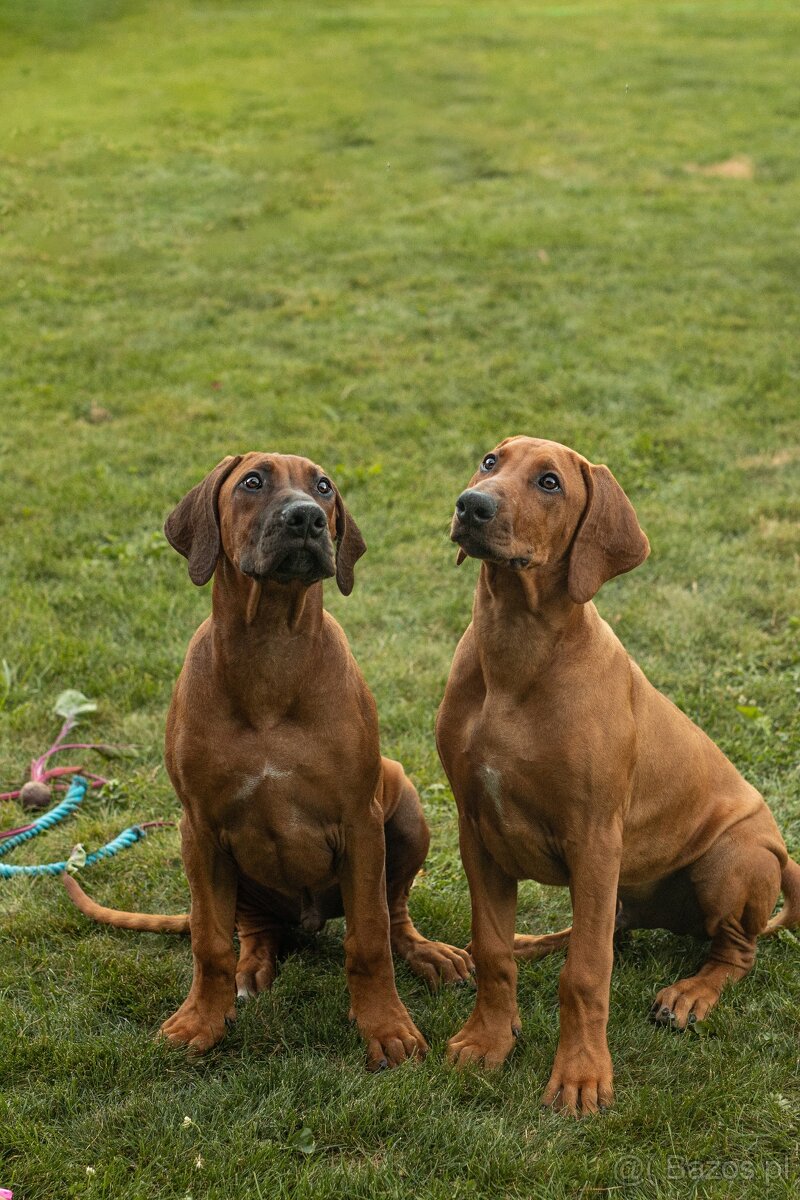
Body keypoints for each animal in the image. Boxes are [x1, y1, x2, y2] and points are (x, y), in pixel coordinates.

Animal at [67, 453, 474, 1065]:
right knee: (253, 929)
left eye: (323, 487)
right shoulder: (199, 830)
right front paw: (201, 1020)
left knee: (394, 912)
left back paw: (427, 953)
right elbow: (209, 942)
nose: (306, 517)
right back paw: (251, 968)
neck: (270, 650)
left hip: (402, 802)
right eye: (252, 482)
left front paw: (386, 1026)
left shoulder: (360, 823)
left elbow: (369, 937)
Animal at [438, 439, 800, 1113]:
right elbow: (494, 949)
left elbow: (585, 975)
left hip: (729, 861)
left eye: (550, 483)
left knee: (732, 953)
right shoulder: (476, 828)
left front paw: (581, 1075)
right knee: (602, 931)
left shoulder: (594, 836)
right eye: (489, 461)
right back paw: (535, 941)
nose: (471, 505)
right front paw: (488, 1039)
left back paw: (691, 993)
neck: (517, 648)